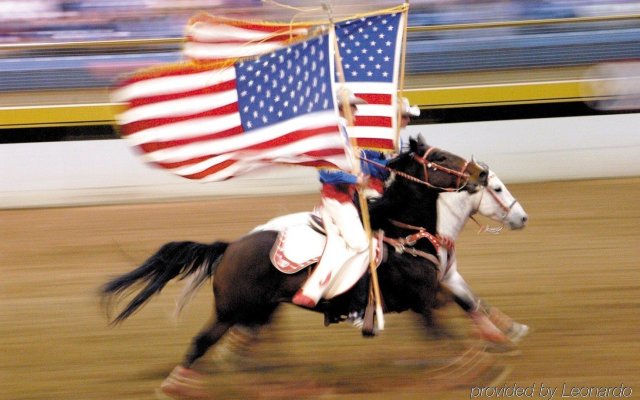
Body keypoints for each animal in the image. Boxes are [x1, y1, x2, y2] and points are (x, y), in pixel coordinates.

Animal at [102, 138, 488, 372]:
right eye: (439, 158)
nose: (481, 172)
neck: (401, 234)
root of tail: (229, 248)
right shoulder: (422, 304)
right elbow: (449, 338)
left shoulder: (430, 300)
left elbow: (464, 307)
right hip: (231, 311)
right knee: (201, 344)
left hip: (259, 312)